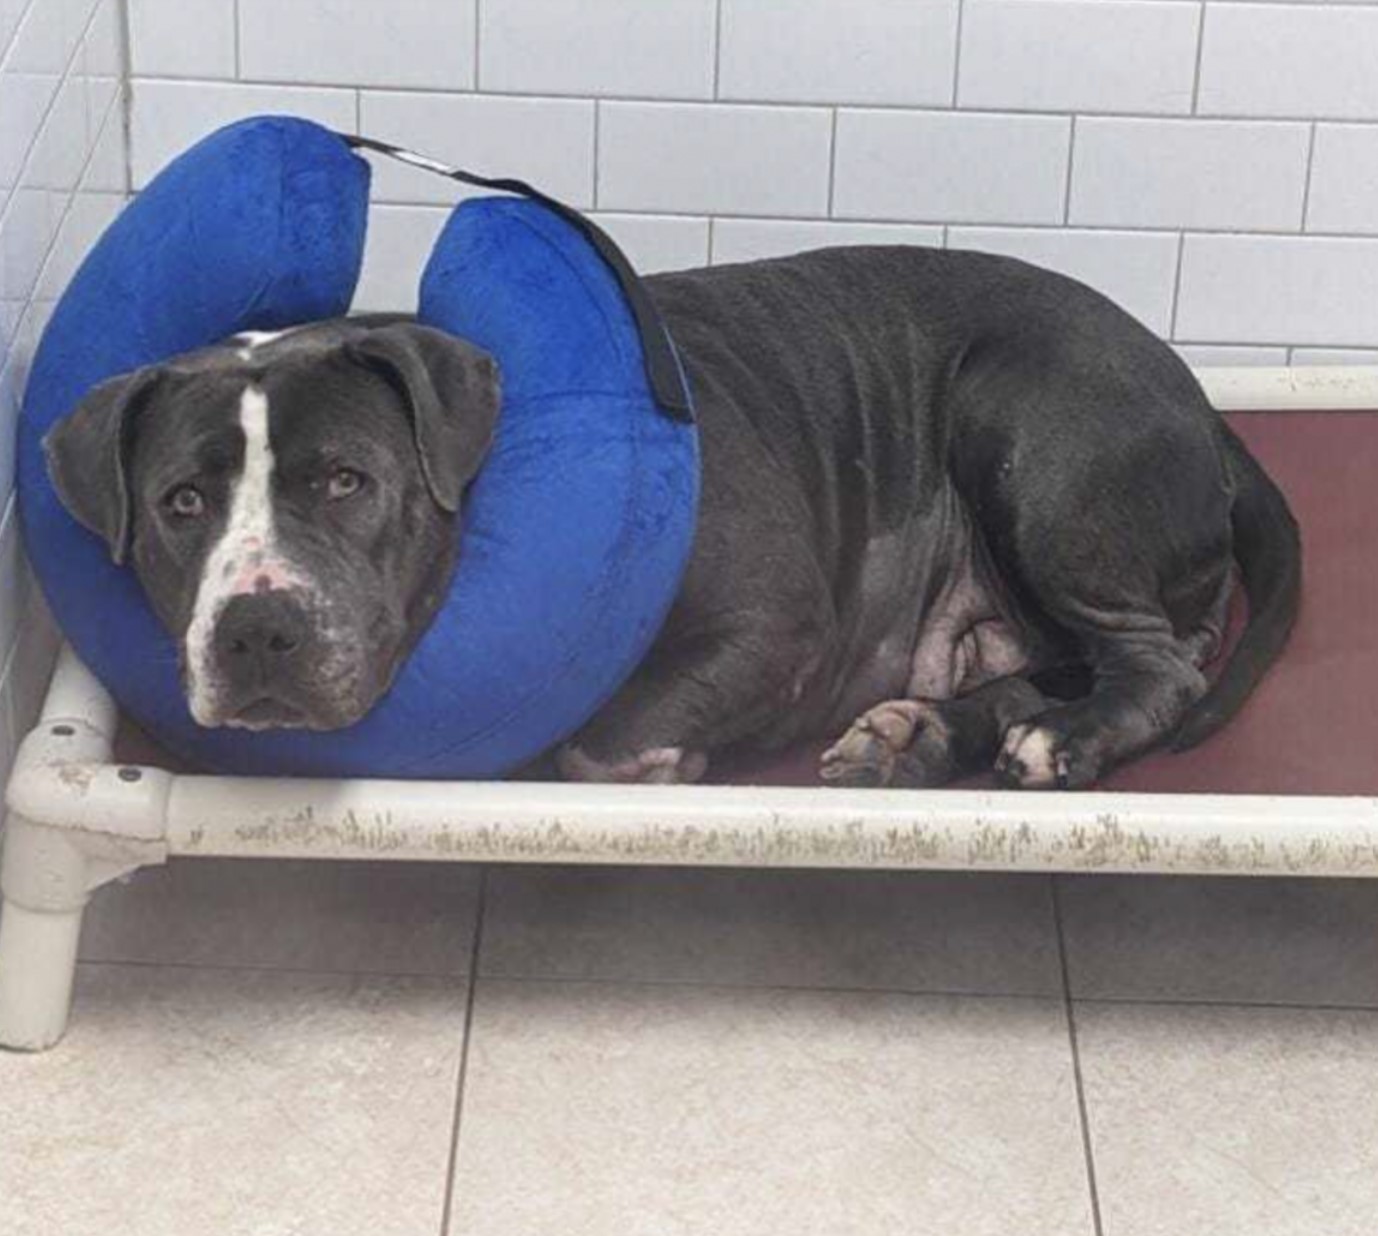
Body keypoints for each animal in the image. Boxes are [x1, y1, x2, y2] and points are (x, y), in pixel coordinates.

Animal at [43, 245, 1295, 788]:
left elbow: (601, 740)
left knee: (1157, 662)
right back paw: (926, 736)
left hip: (1028, 428)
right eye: (182, 502)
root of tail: (1198, 400)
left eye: (347, 481)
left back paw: (1061, 741)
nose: (257, 628)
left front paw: (660, 760)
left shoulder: (773, 624)